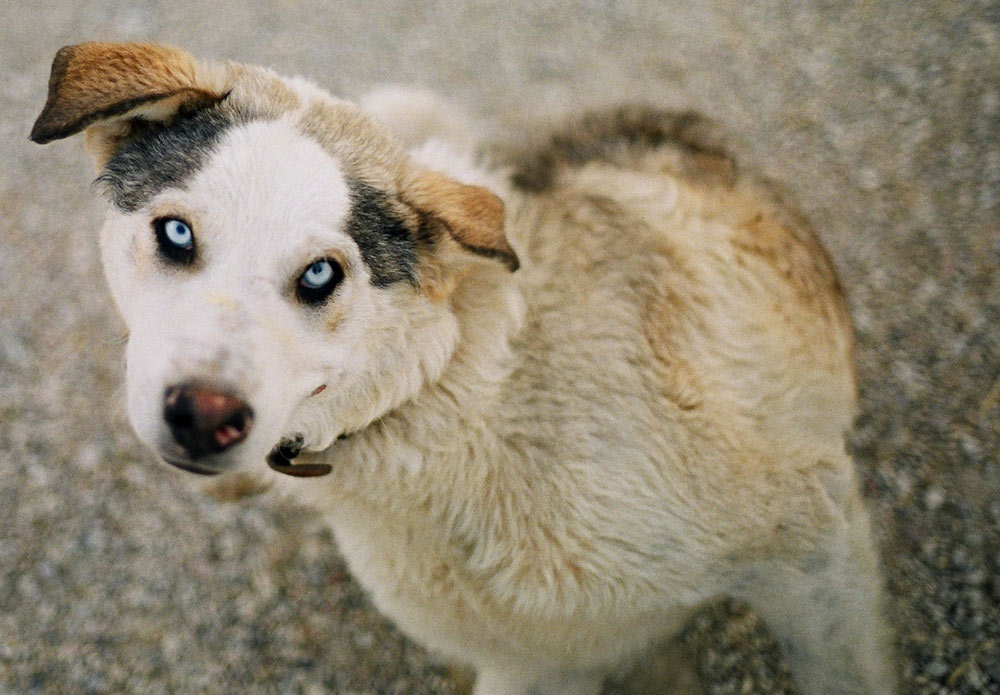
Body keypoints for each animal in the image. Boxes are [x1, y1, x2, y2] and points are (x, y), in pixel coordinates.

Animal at [31, 44, 896, 695]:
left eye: (321, 274)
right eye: (176, 233)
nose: (202, 416)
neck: (461, 393)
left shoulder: (811, 537)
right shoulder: (542, 659)